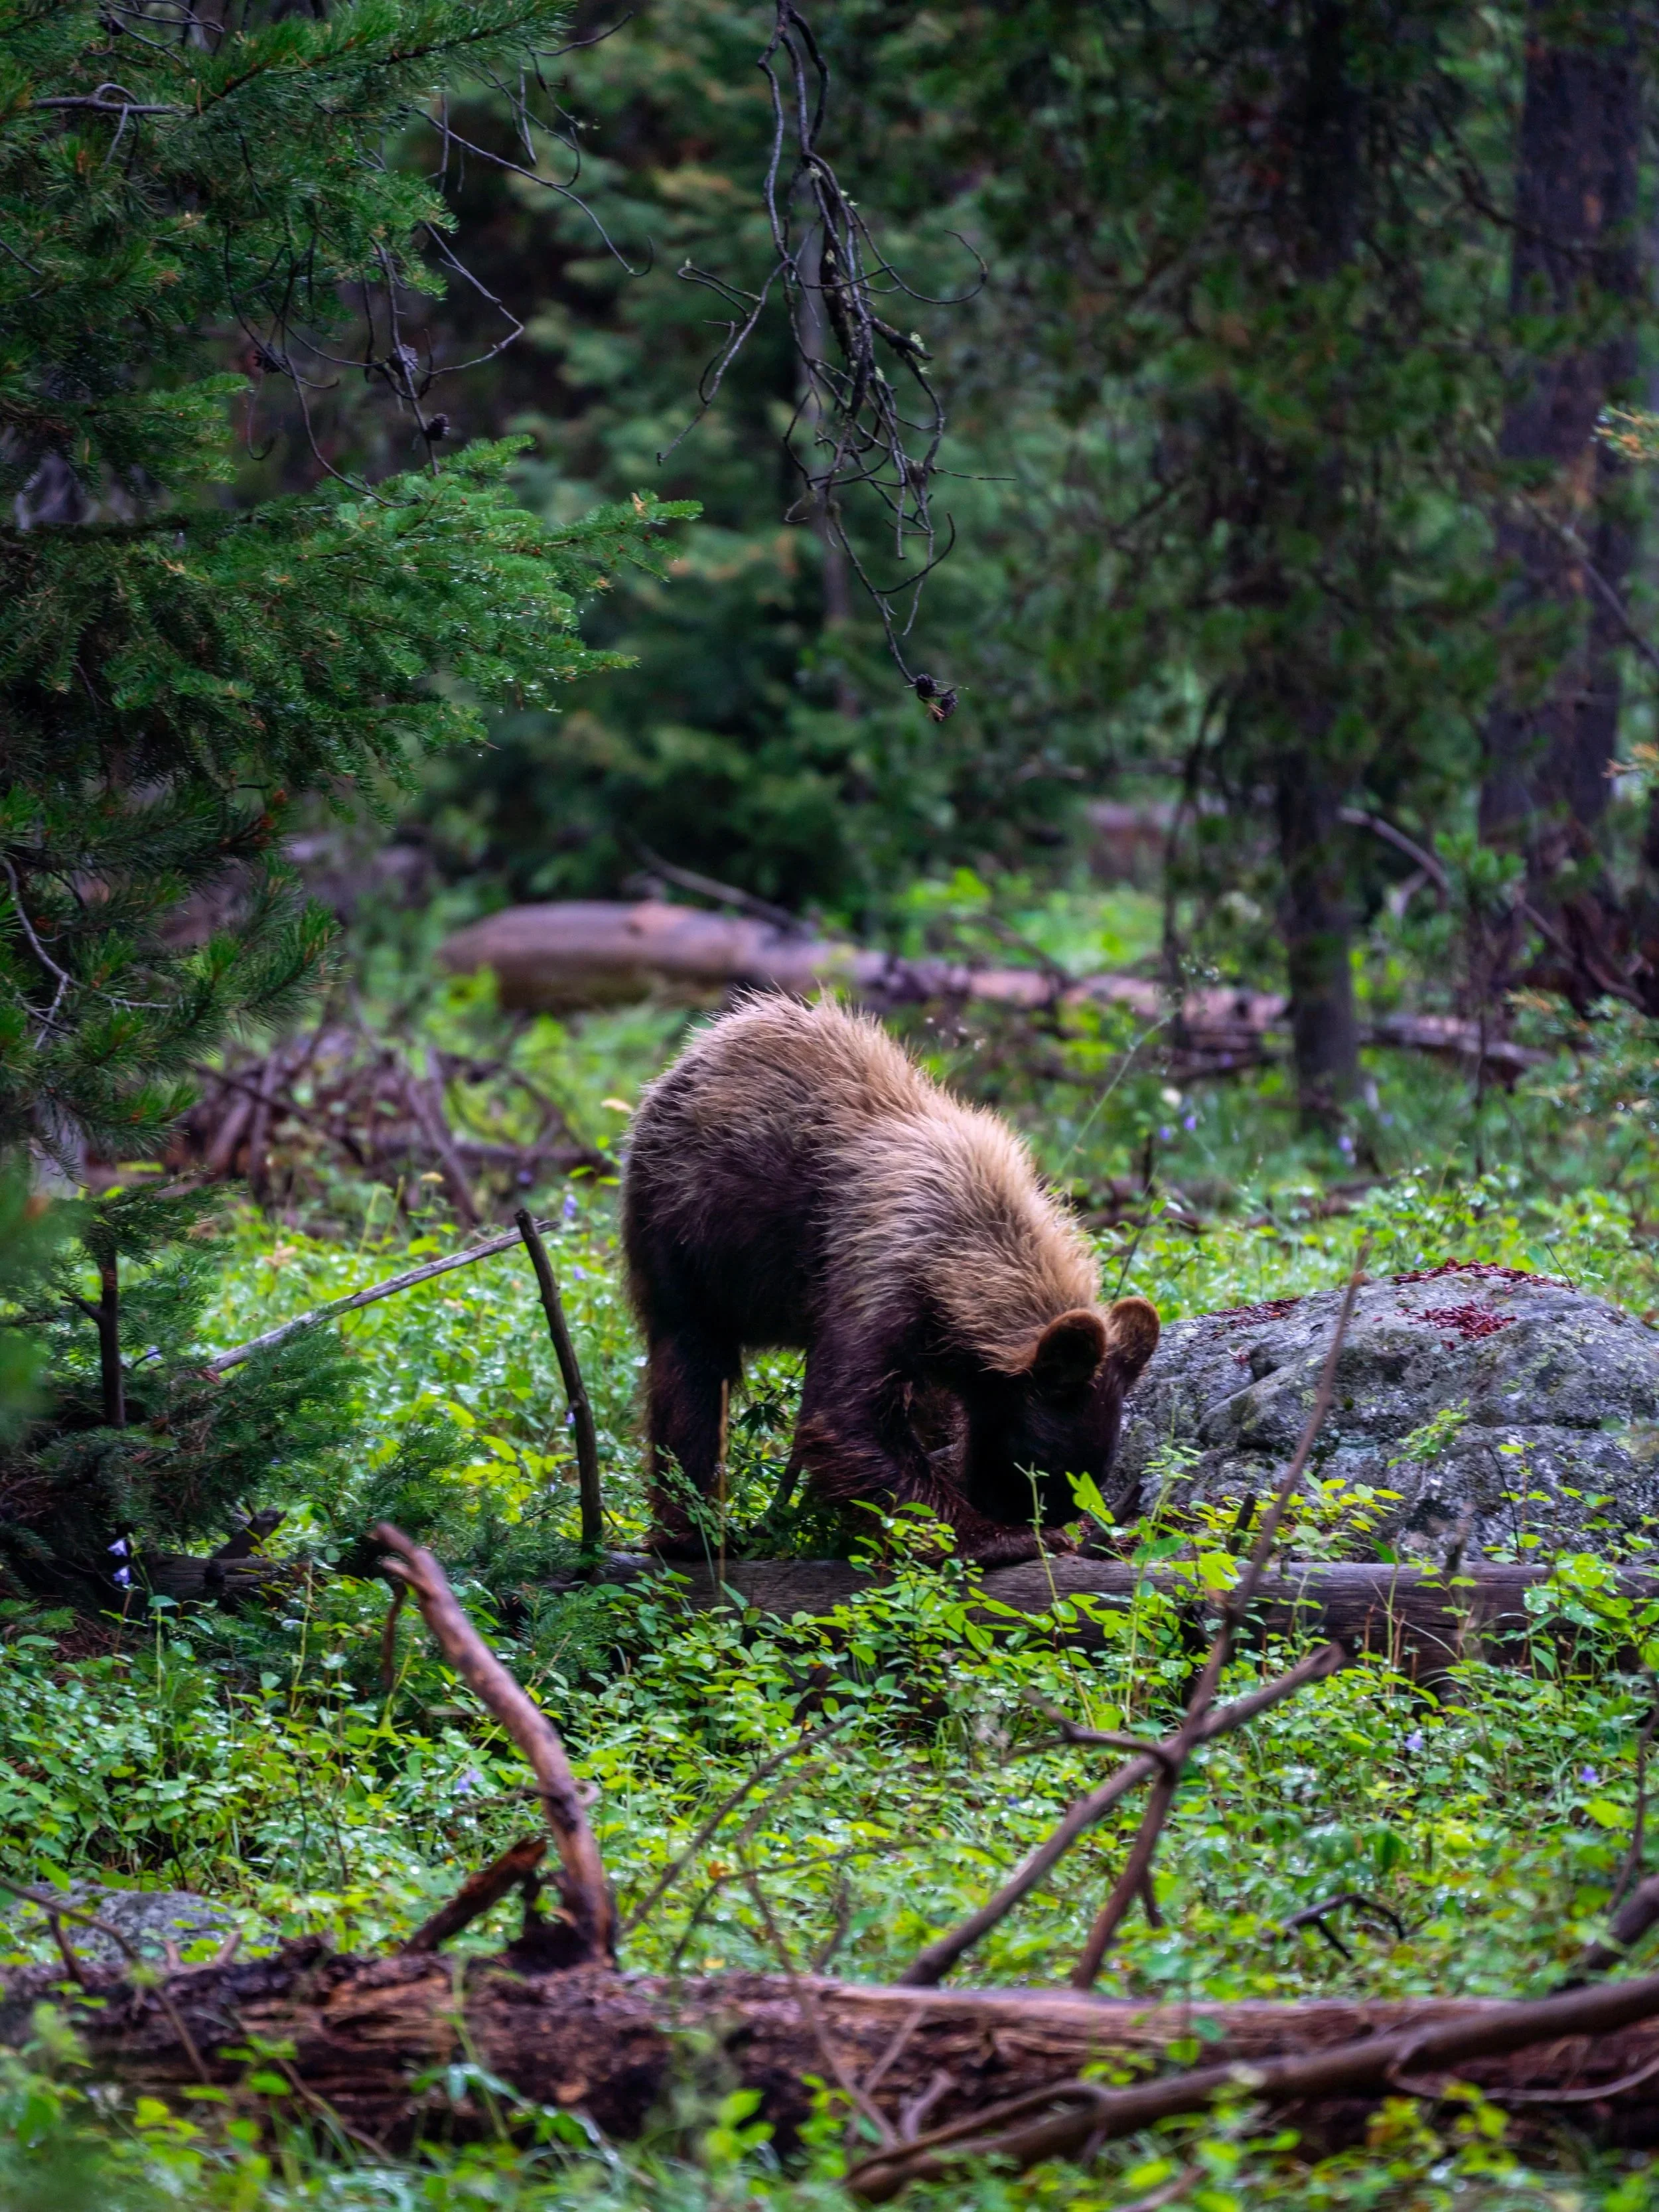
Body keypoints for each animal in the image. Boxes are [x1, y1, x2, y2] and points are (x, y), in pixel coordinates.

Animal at [621, 994, 1159, 1564]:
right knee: (692, 1372)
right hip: (685, 1239)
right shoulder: (877, 1271)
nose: (1043, 1518)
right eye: (1035, 1467)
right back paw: (694, 1531)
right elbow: (847, 1418)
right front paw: (995, 1536)